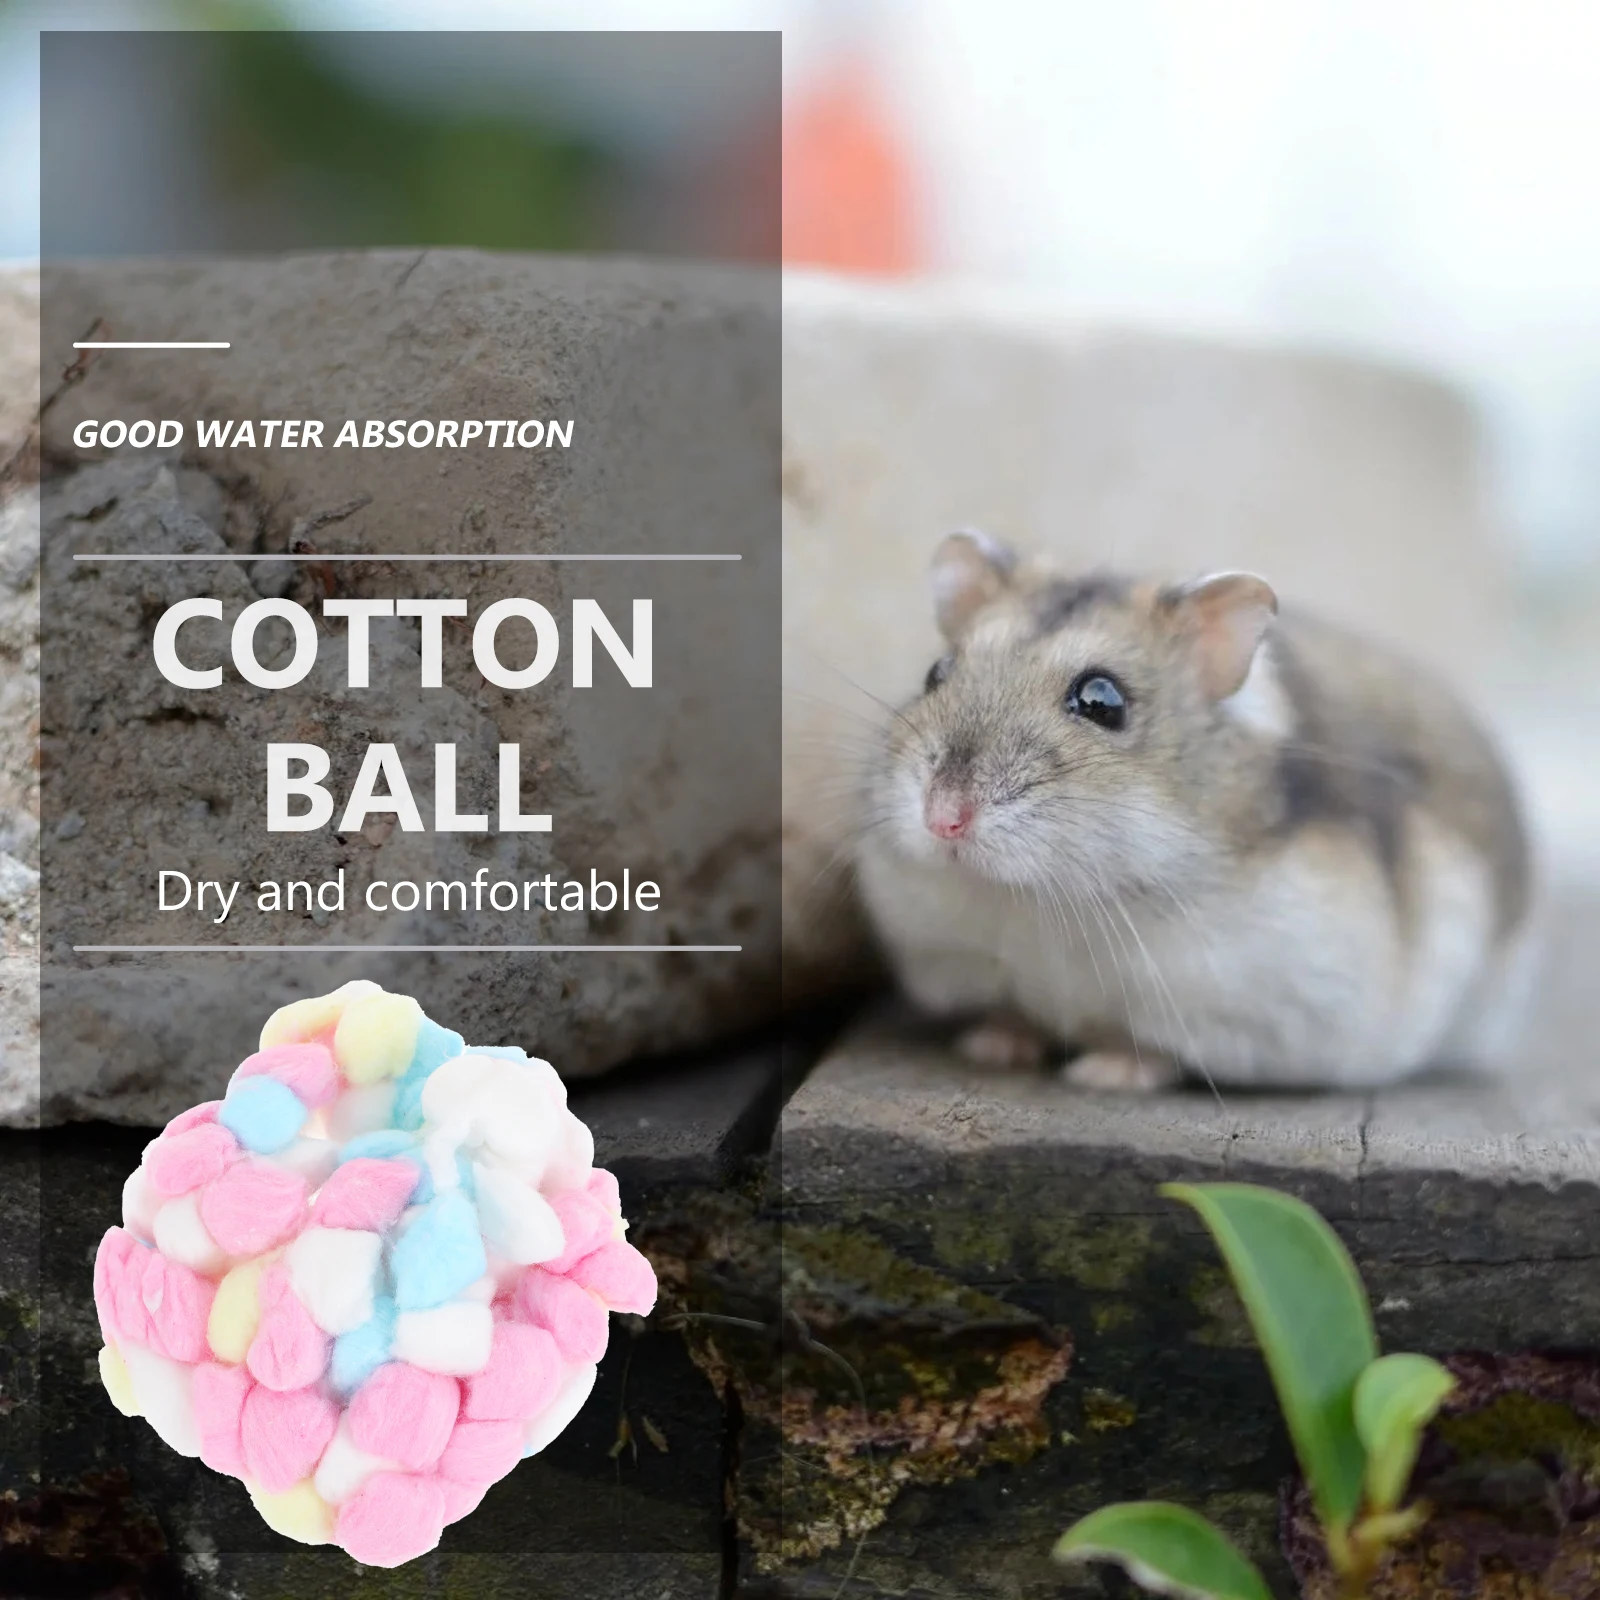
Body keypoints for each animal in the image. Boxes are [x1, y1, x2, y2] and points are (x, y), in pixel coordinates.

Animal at [854, 530, 1535, 1092]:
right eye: (936, 672)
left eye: (1101, 700)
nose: (942, 818)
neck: (1043, 900)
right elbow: (1010, 1012)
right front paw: (992, 1047)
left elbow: (1160, 1049)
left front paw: (1104, 1073)